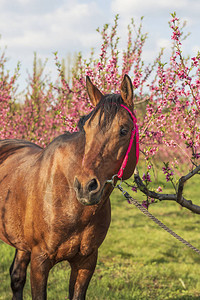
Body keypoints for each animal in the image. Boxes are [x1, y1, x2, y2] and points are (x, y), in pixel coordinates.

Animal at [0, 74, 138, 298]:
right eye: (86, 130)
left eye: (124, 130)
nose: (85, 186)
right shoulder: (40, 261)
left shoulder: (86, 262)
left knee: (17, 277)